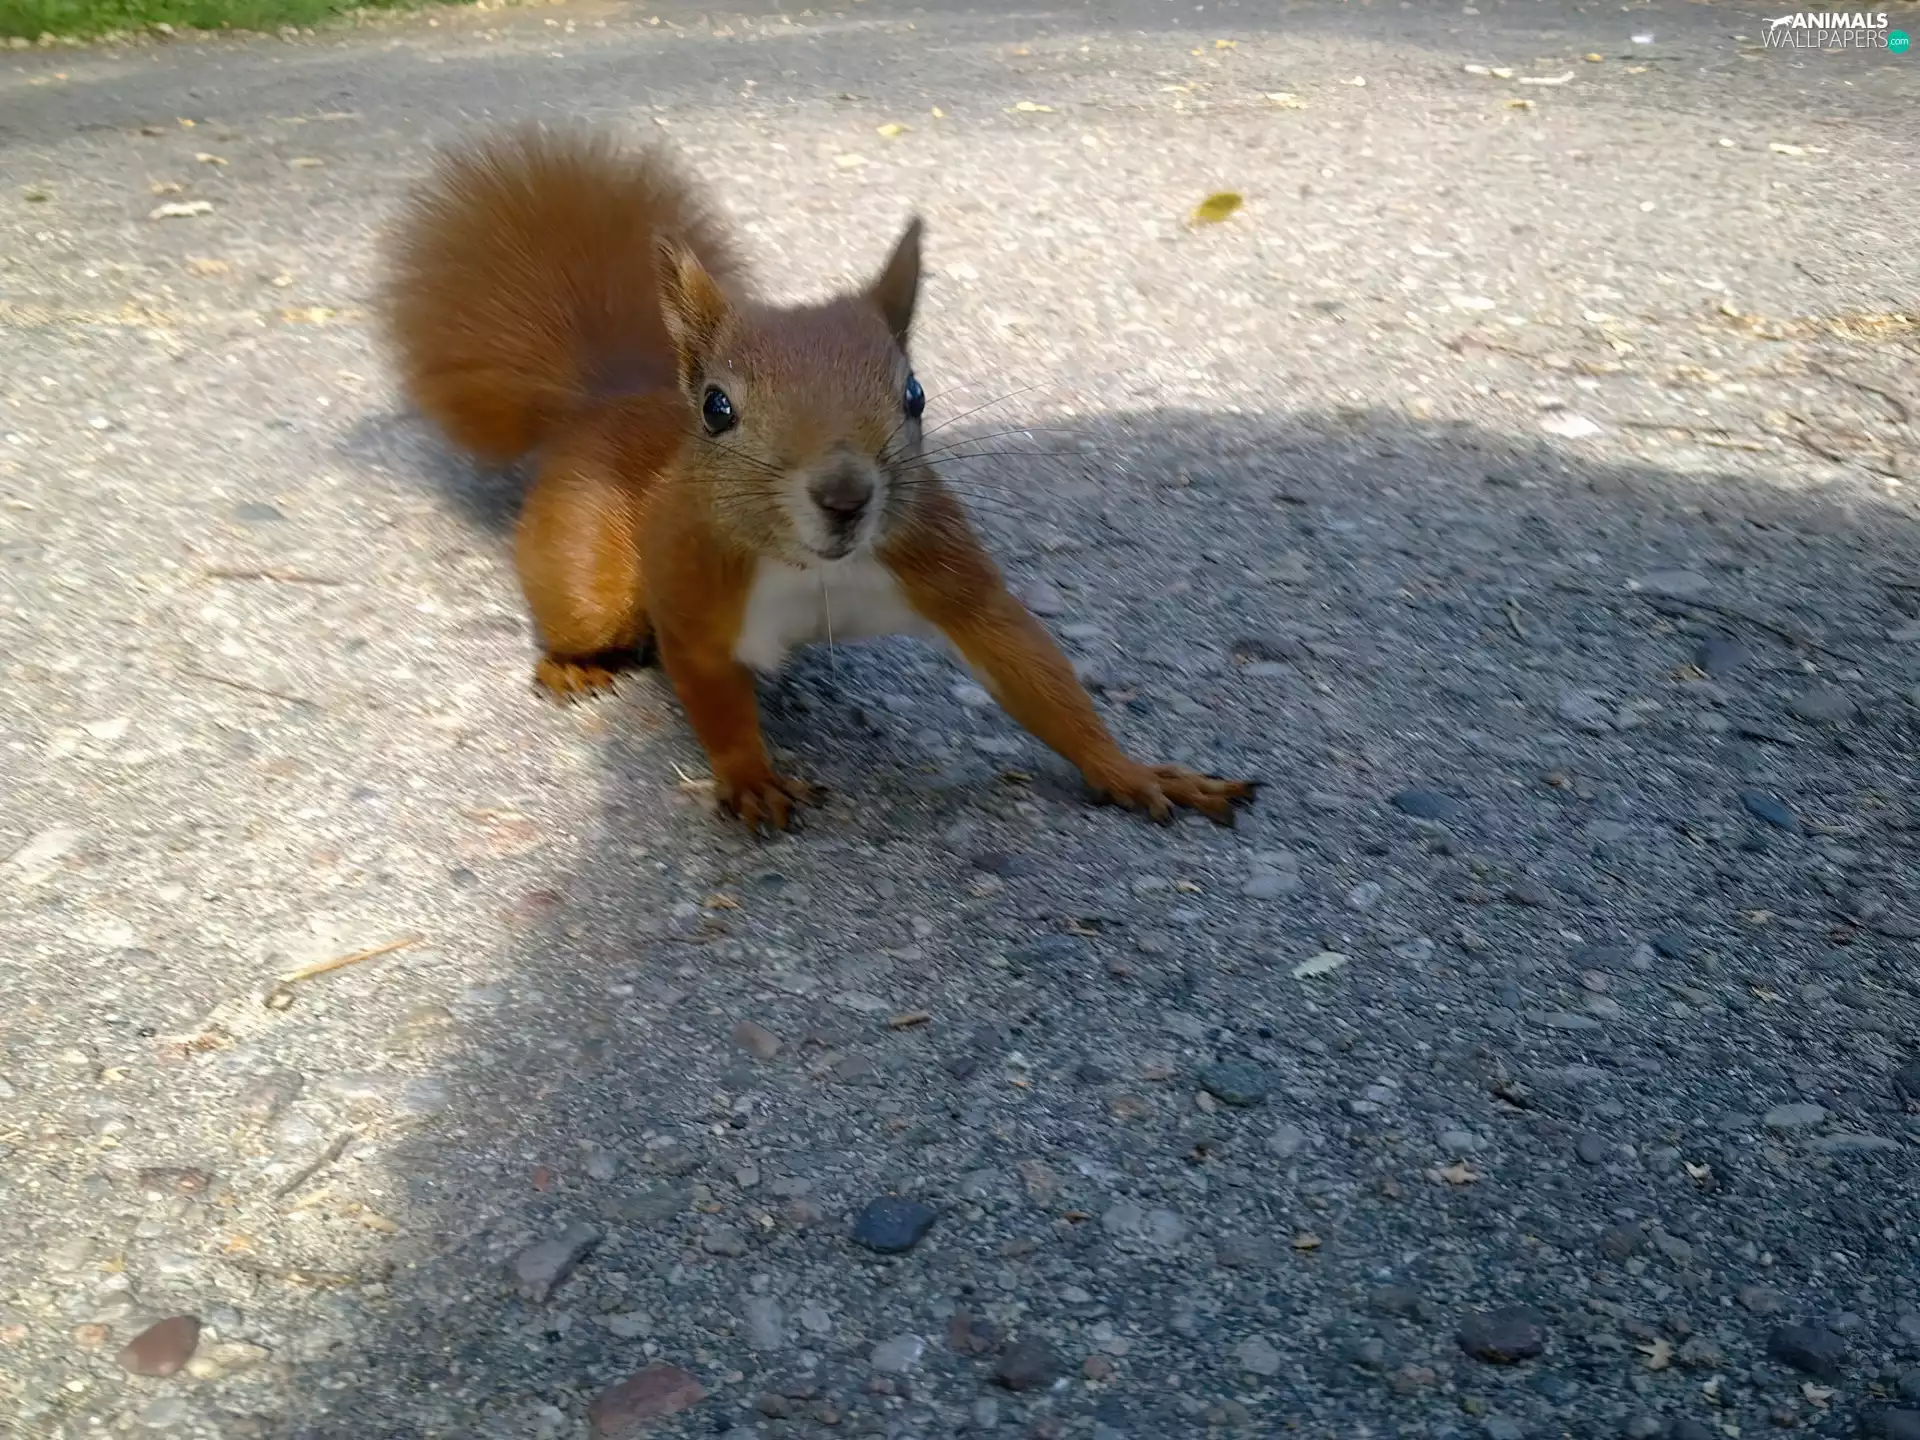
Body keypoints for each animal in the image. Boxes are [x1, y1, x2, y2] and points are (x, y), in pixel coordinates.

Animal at [380, 124, 1257, 833]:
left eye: (915, 394)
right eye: (717, 408)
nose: (845, 497)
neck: (811, 570)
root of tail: (602, 400)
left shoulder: (947, 572)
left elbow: (1034, 672)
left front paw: (1132, 772)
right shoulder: (694, 594)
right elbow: (714, 699)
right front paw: (752, 780)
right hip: (589, 570)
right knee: (578, 614)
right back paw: (571, 667)